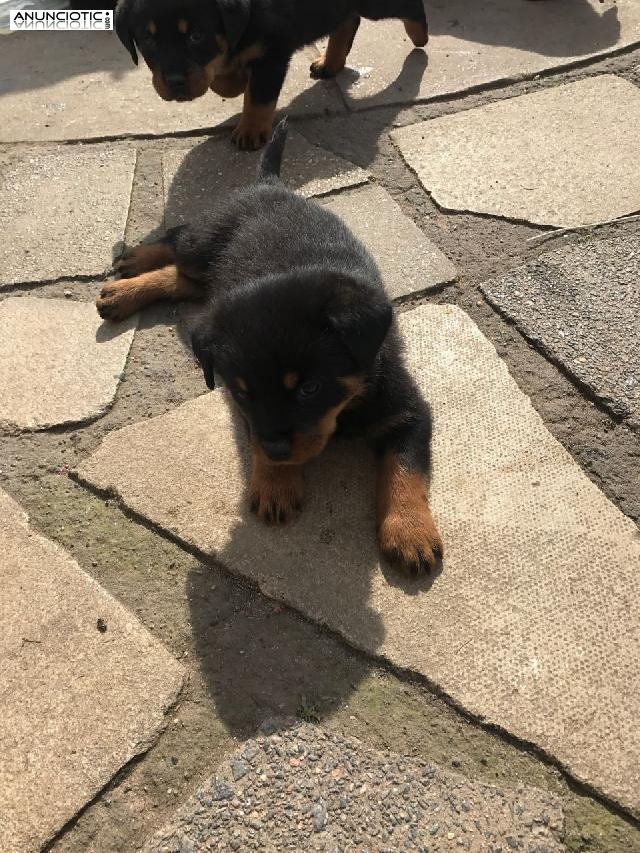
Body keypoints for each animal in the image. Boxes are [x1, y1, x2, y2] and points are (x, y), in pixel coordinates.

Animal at [97, 120, 442, 576]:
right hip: (205, 245)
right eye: (243, 392)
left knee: (183, 278)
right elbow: (256, 431)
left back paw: (127, 287)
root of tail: (269, 184)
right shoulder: (251, 413)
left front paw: (409, 532)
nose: (280, 451)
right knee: (179, 239)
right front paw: (276, 482)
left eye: (309, 388)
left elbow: (406, 470)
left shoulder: (409, 409)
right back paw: (133, 266)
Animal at [115, 0, 430, 148]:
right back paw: (330, 63)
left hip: (375, 4)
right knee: (347, 21)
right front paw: (236, 80)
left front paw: (251, 131)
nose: (175, 83)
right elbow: (223, 81)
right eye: (148, 40)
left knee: (407, 8)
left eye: (196, 36)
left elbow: (259, 98)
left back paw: (420, 36)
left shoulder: (272, 53)